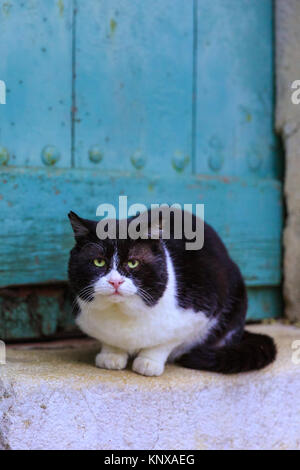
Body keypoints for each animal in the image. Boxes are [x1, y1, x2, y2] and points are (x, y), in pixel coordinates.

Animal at [68, 211, 276, 376]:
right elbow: (109, 341)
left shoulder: (198, 313)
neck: (121, 314)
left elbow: (166, 342)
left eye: (133, 263)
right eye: (99, 262)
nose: (115, 282)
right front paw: (111, 355)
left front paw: (149, 362)